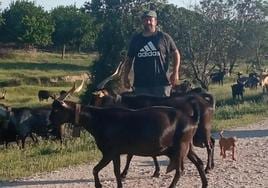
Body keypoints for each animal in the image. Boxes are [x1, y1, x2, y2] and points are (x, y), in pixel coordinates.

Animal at [50, 98, 208, 188]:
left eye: (56, 110)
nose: (49, 121)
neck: (99, 119)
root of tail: (192, 119)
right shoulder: (115, 153)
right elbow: (116, 172)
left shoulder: (110, 152)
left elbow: (96, 169)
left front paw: (99, 185)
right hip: (187, 146)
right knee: (198, 162)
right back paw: (204, 184)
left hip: (181, 146)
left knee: (180, 170)